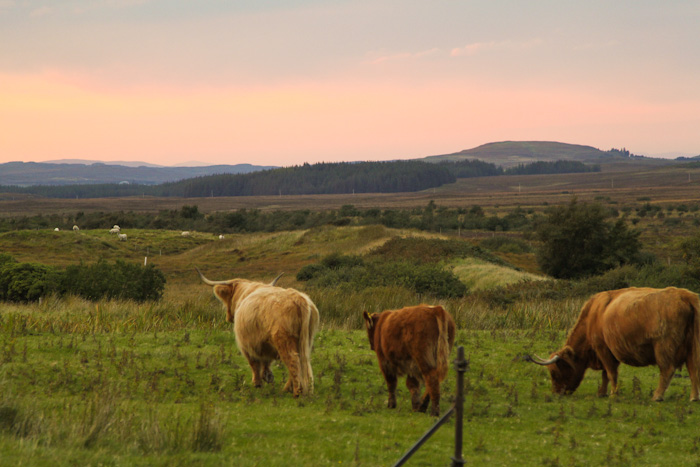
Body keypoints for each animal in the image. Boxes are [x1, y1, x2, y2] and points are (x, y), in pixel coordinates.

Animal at [196, 267, 318, 397]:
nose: (228, 317)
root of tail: (298, 298)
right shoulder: (264, 344)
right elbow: (266, 361)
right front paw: (267, 376)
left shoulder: (246, 344)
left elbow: (254, 363)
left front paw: (257, 383)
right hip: (305, 340)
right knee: (302, 361)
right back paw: (289, 389)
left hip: (284, 340)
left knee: (293, 360)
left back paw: (296, 392)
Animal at [529, 287, 700, 402]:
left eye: (554, 372)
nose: (556, 393)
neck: (593, 316)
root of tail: (685, 295)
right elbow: (605, 374)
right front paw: (602, 392)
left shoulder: (603, 348)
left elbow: (611, 373)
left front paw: (613, 394)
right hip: (692, 347)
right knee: (693, 370)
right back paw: (694, 397)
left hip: (663, 347)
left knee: (667, 370)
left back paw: (657, 396)